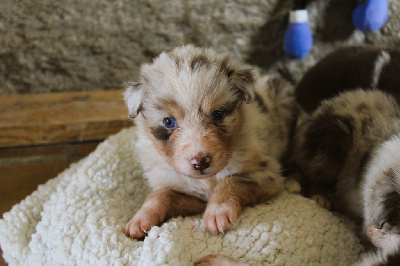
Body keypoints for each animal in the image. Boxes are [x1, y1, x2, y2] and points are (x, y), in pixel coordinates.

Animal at [123, 45, 298, 239]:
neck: (206, 181)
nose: (200, 161)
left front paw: (218, 213)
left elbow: (230, 181)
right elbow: (161, 194)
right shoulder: (191, 194)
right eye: (168, 122)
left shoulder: (266, 175)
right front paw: (140, 219)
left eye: (218, 114)